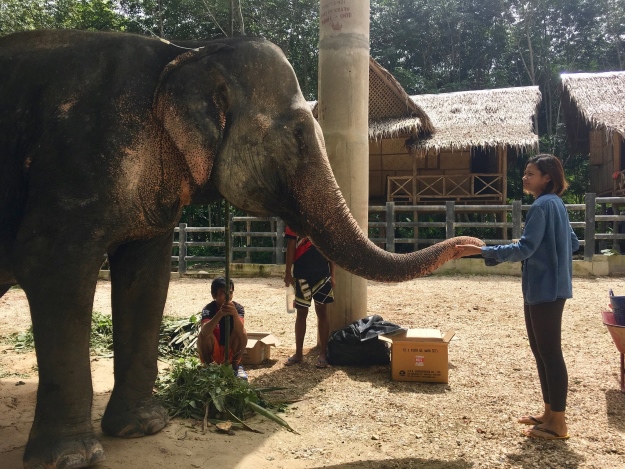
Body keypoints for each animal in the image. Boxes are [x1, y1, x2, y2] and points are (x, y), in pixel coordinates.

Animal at [0, 30, 482, 468]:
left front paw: (143, 427)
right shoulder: (75, 156)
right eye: (298, 137)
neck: (184, 53)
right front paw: (72, 458)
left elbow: (146, 279)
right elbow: (51, 267)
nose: (475, 244)